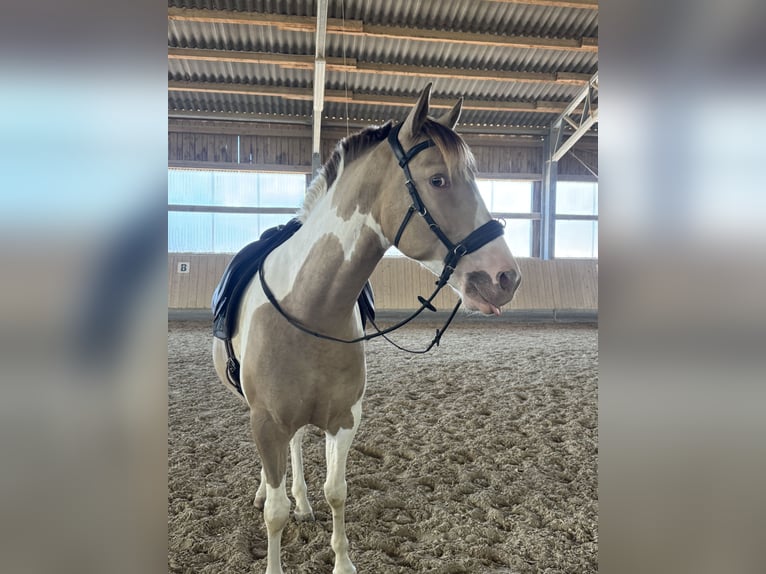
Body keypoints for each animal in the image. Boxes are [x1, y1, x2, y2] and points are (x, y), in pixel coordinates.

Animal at [212, 84, 522, 574]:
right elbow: (274, 514)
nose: (505, 278)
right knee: (276, 471)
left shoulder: (344, 419)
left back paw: (302, 502)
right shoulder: (266, 421)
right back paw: (269, 490)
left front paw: (341, 560)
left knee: (298, 449)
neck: (310, 310)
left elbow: (336, 492)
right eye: (438, 180)